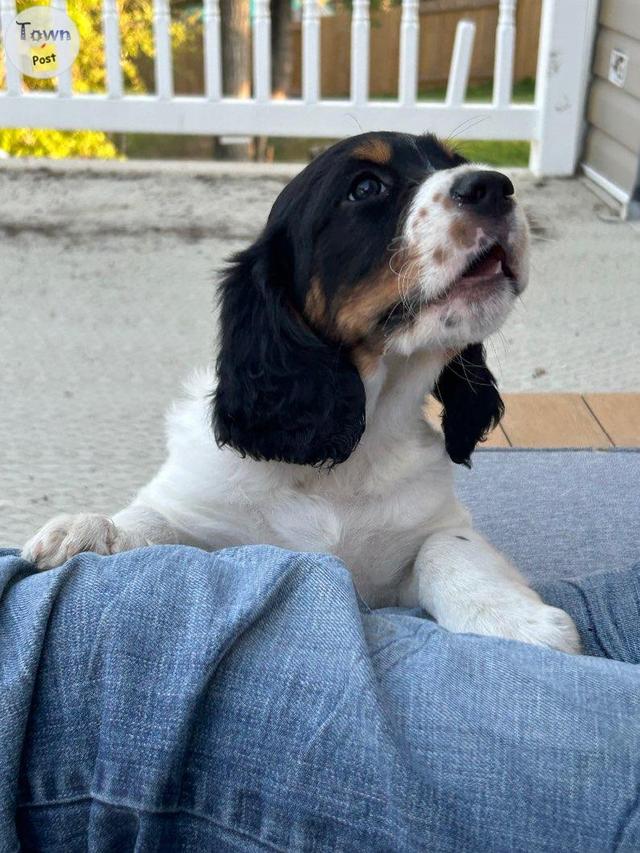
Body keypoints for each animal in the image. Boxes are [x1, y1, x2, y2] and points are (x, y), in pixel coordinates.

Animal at [22, 131, 580, 652]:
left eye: (455, 163)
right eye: (365, 188)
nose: (494, 185)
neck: (352, 444)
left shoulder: (428, 531)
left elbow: (449, 548)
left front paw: (515, 621)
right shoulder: (205, 514)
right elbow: (151, 520)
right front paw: (90, 532)